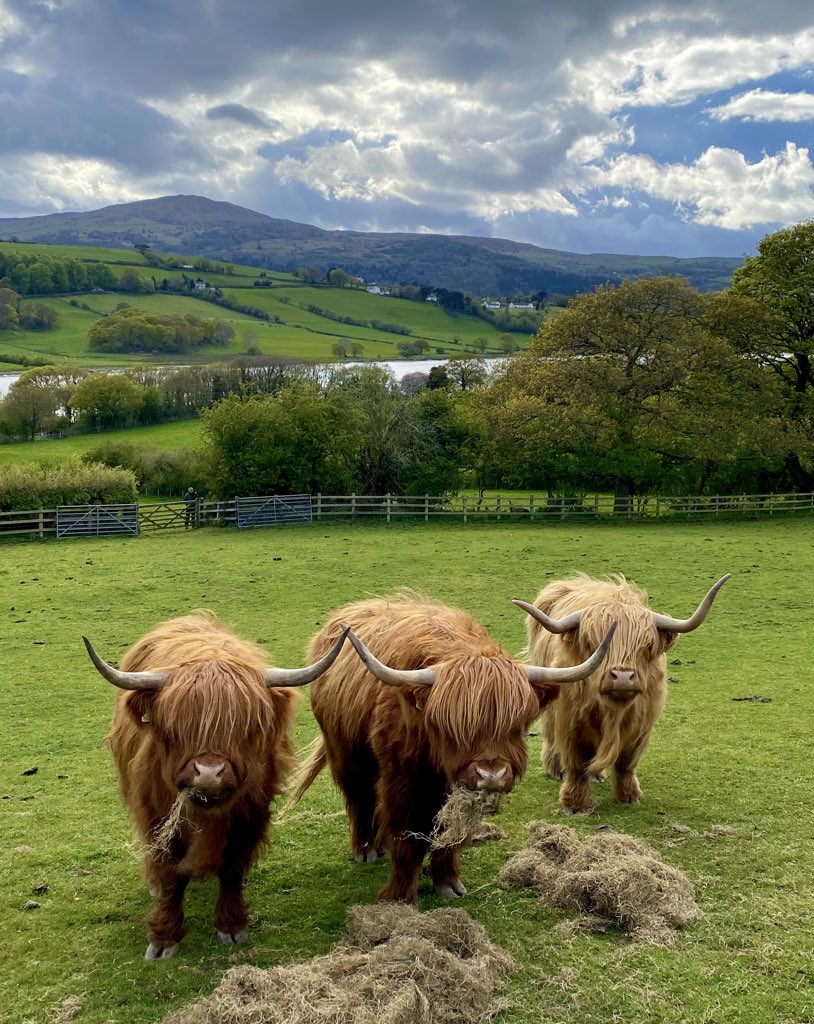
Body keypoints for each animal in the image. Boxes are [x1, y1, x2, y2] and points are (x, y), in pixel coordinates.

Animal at [84, 614, 348, 958]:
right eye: (176, 726)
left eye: (245, 726)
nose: (208, 774)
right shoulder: (158, 815)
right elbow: (170, 874)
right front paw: (164, 938)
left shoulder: (250, 815)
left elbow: (232, 868)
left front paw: (231, 926)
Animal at [288, 593, 614, 905]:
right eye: (453, 727)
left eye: (517, 723)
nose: (492, 775)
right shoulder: (402, 781)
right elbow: (407, 839)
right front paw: (399, 897)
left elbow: (451, 834)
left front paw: (448, 883)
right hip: (346, 752)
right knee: (359, 796)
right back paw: (366, 849)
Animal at [516, 573, 733, 811]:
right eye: (593, 643)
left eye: (647, 645)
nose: (622, 677)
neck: (613, 711)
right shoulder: (571, 720)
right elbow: (577, 763)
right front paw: (575, 804)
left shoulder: (641, 725)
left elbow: (626, 763)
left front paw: (629, 796)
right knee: (550, 732)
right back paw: (555, 769)